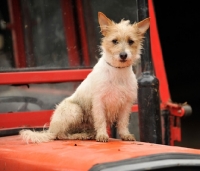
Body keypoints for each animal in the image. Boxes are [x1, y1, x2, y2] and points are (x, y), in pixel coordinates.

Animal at [19, 11, 150, 143]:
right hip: (74, 110)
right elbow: (100, 120)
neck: (117, 71)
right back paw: (79, 136)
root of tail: (50, 130)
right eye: (114, 41)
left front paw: (125, 135)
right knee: (61, 135)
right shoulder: (99, 102)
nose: (123, 55)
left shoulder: (126, 105)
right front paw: (102, 135)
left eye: (131, 41)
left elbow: (123, 123)